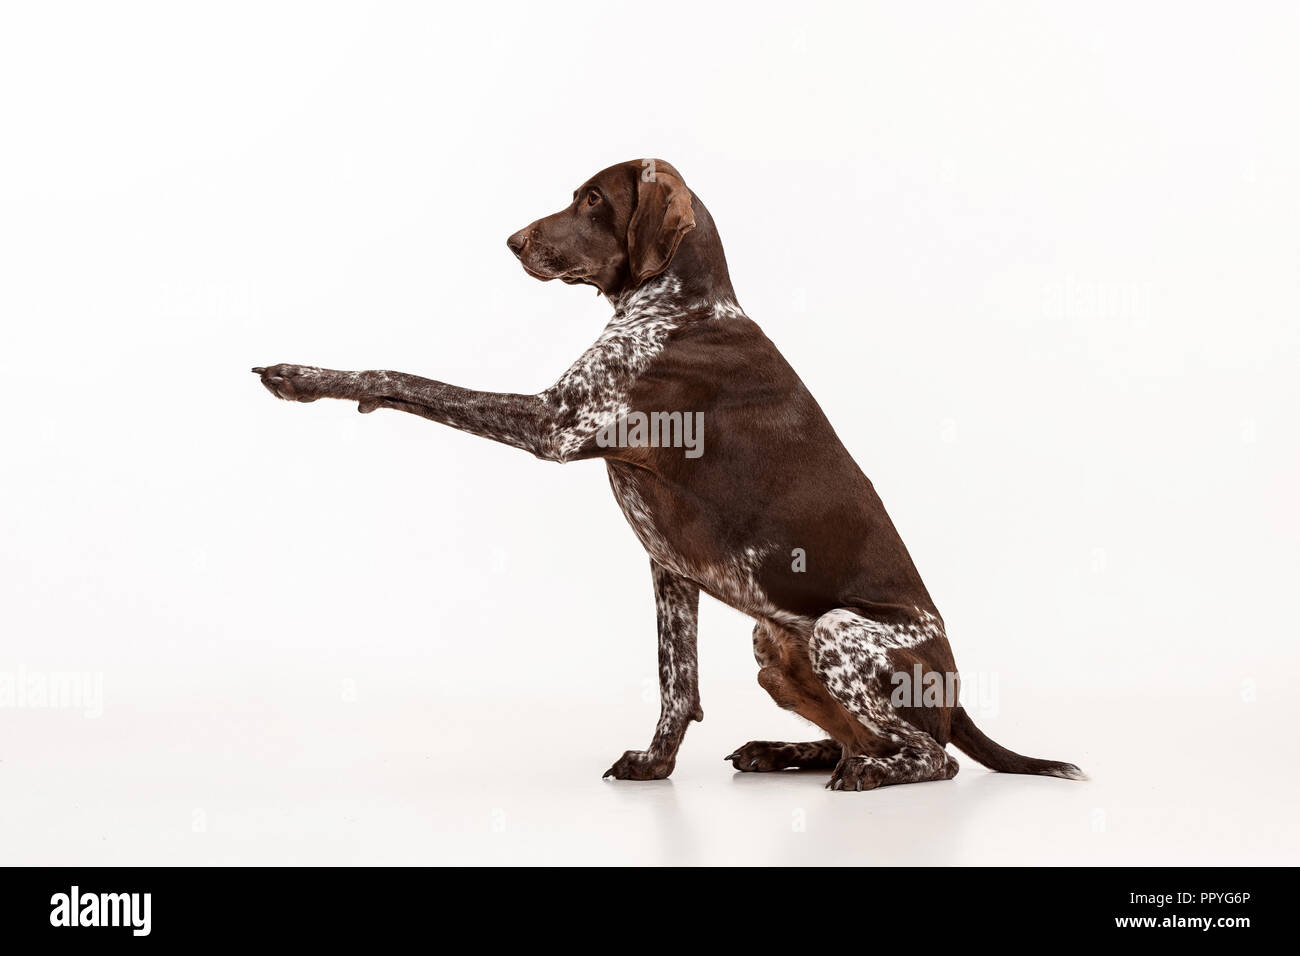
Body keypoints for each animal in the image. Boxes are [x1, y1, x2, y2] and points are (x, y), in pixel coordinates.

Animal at [250, 158, 1076, 790]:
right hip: (776, 649)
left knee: (931, 758)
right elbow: (676, 683)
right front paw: (656, 765)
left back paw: (868, 773)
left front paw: (306, 377)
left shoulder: (555, 424)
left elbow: (407, 378)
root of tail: (957, 697)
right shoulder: (670, 570)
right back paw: (788, 752)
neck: (683, 304)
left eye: (593, 200)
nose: (513, 241)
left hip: (842, 631)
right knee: (864, 738)